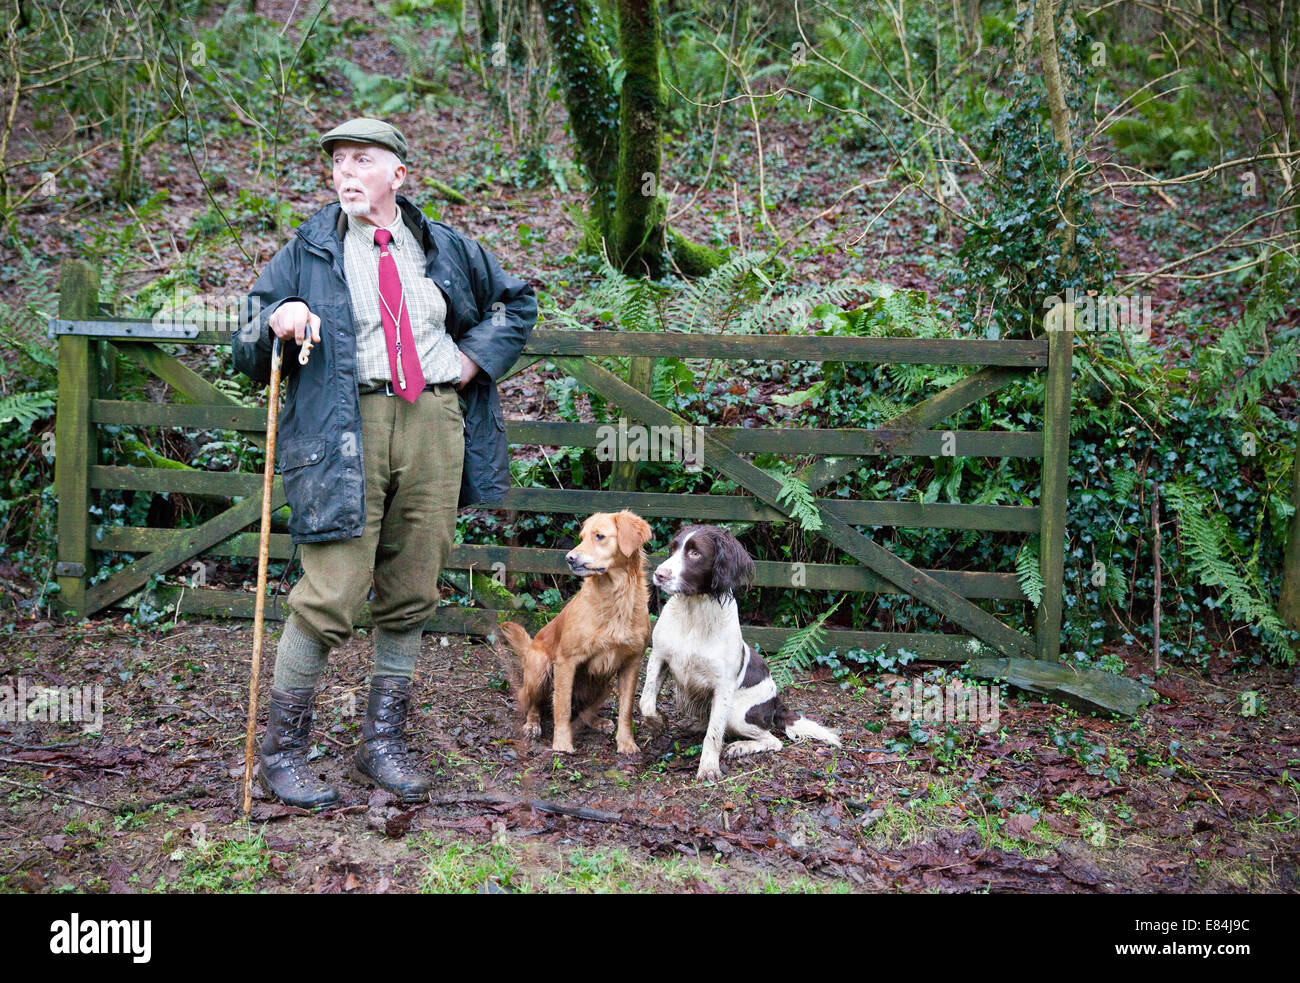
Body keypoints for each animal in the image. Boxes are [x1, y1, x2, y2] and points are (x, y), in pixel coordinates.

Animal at [501, 509, 655, 754]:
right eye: (581, 537)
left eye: (599, 536)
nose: (569, 558)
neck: (615, 597)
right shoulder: (566, 661)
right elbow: (562, 707)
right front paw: (562, 743)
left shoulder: (631, 663)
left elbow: (626, 710)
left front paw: (626, 742)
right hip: (539, 668)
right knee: (533, 702)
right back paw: (532, 724)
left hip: (605, 682)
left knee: (584, 711)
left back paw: (598, 722)